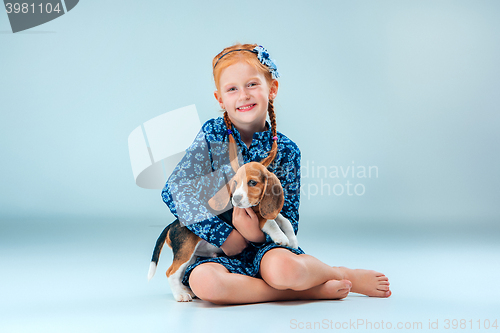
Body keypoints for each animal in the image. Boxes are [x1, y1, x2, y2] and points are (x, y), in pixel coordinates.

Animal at [147, 161, 296, 300]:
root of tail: (172, 224)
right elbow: (271, 222)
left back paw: (185, 291)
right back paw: (180, 295)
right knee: (171, 273)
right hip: (185, 251)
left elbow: (285, 221)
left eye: (253, 182)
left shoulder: (268, 211)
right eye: (235, 182)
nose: (235, 198)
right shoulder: (256, 216)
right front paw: (281, 237)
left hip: (191, 255)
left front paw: (293, 242)